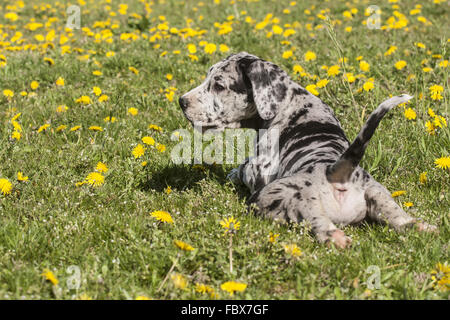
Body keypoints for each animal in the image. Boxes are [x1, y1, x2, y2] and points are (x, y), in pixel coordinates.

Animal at [178, 52, 436, 248]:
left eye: (219, 85)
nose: (182, 101)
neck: (287, 100)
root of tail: (335, 170)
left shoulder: (259, 169)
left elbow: (244, 166)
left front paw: (232, 173)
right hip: (379, 194)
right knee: (399, 218)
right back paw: (421, 226)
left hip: (276, 198)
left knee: (317, 222)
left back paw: (335, 237)